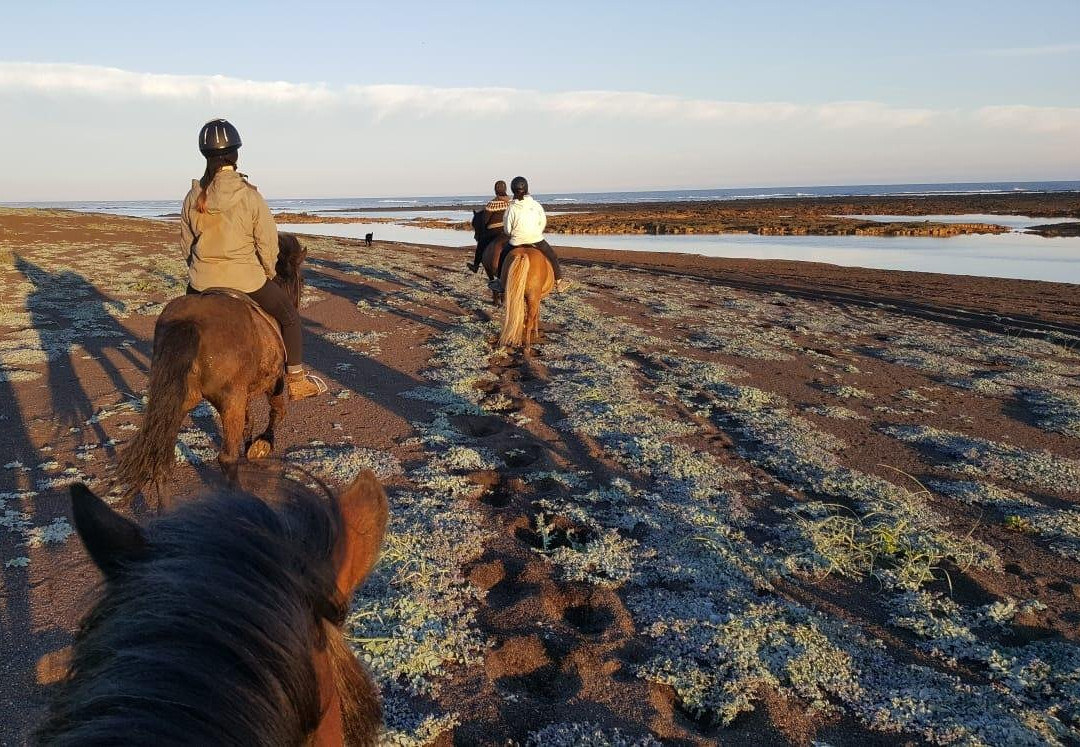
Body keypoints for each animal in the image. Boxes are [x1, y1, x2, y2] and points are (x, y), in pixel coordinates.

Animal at [115, 234, 306, 501]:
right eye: (303, 280)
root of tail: (189, 322)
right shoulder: (273, 380)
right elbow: (277, 412)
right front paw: (262, 445)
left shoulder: (244, 394)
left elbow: (248, 423)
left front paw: (252, 445)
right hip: (229, 400)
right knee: (226, 459)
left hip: (180, 401)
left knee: (162, 458)